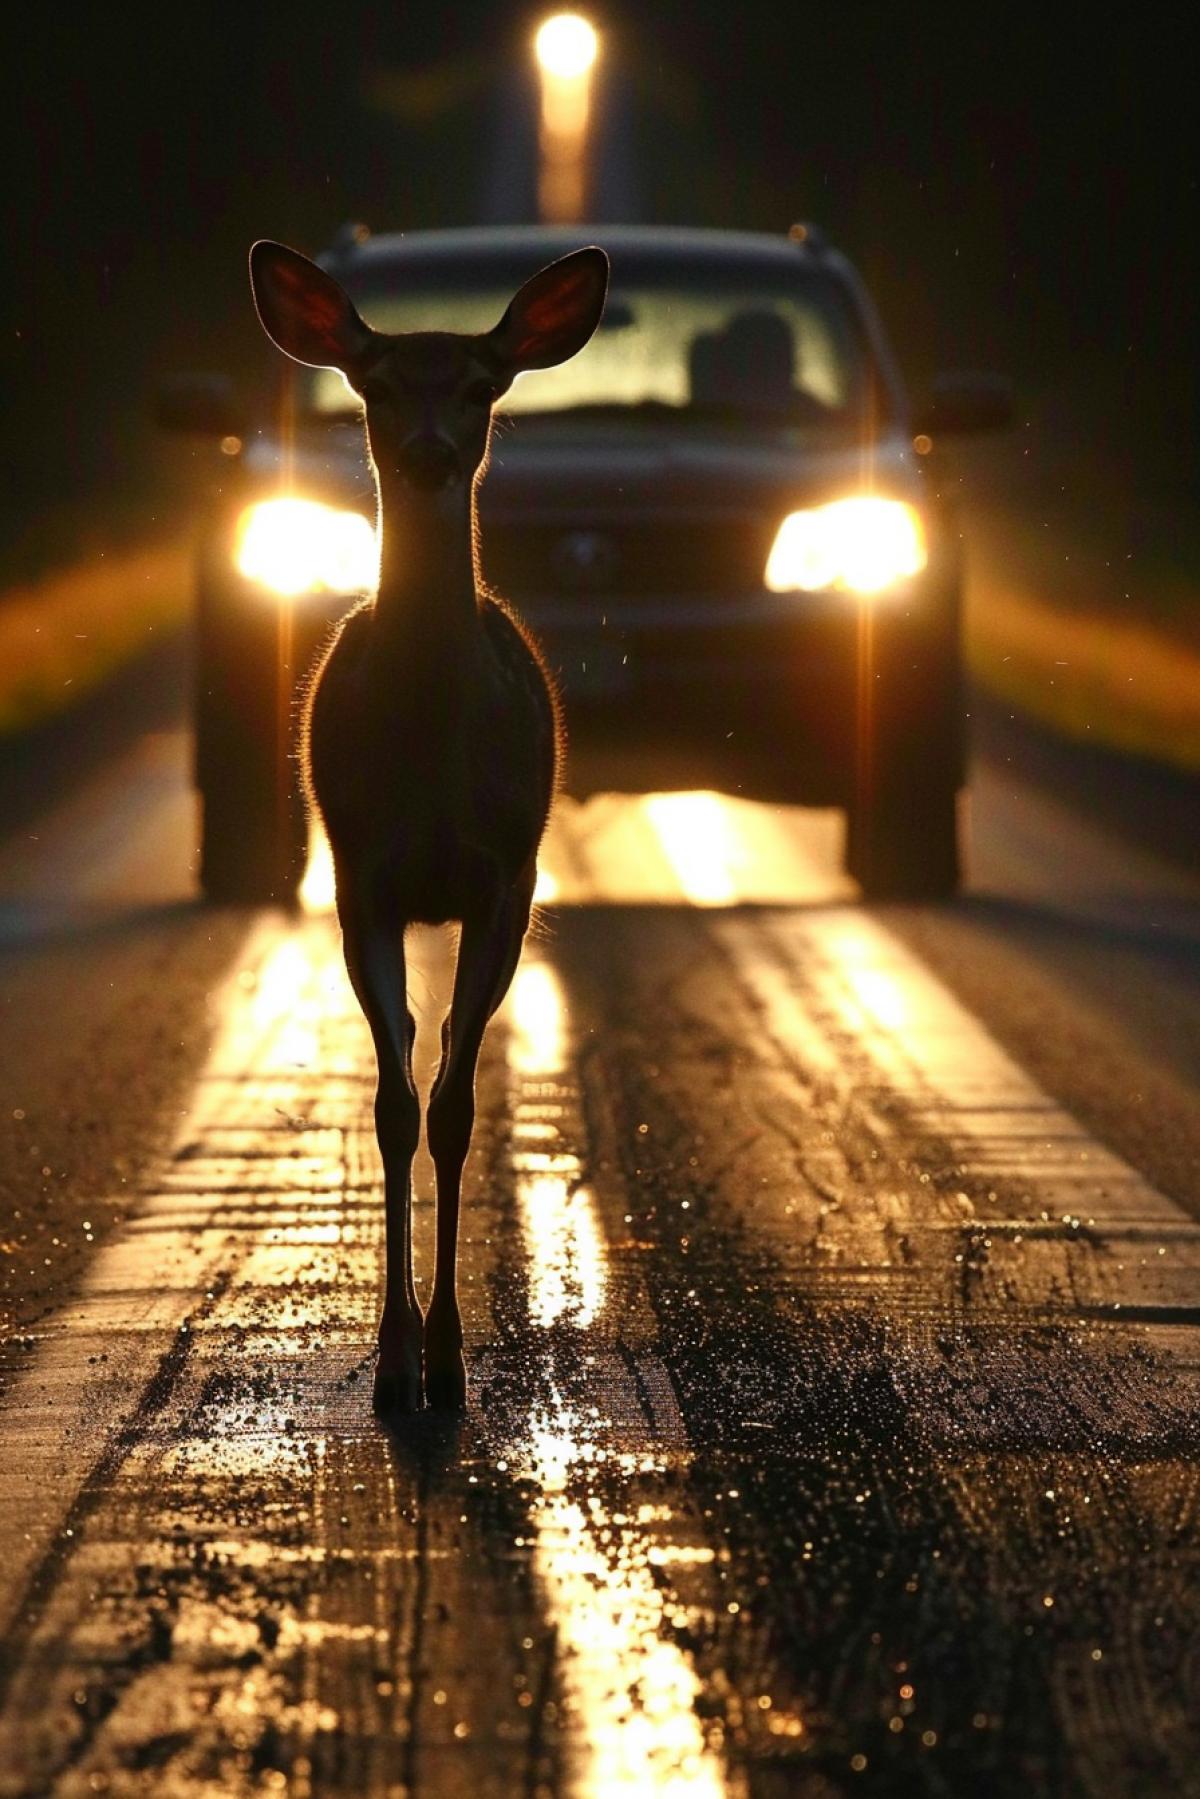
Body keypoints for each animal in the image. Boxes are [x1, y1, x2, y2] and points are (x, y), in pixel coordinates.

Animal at [248, 238, 609, 1414]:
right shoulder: (362, 875)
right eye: (376, 382)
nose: (429, 449)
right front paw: (396, 1359)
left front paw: (450, 1361)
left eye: (483, 384)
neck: (433, 765)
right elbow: (394, 1107)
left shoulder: (506, 877)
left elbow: (455, 1108)